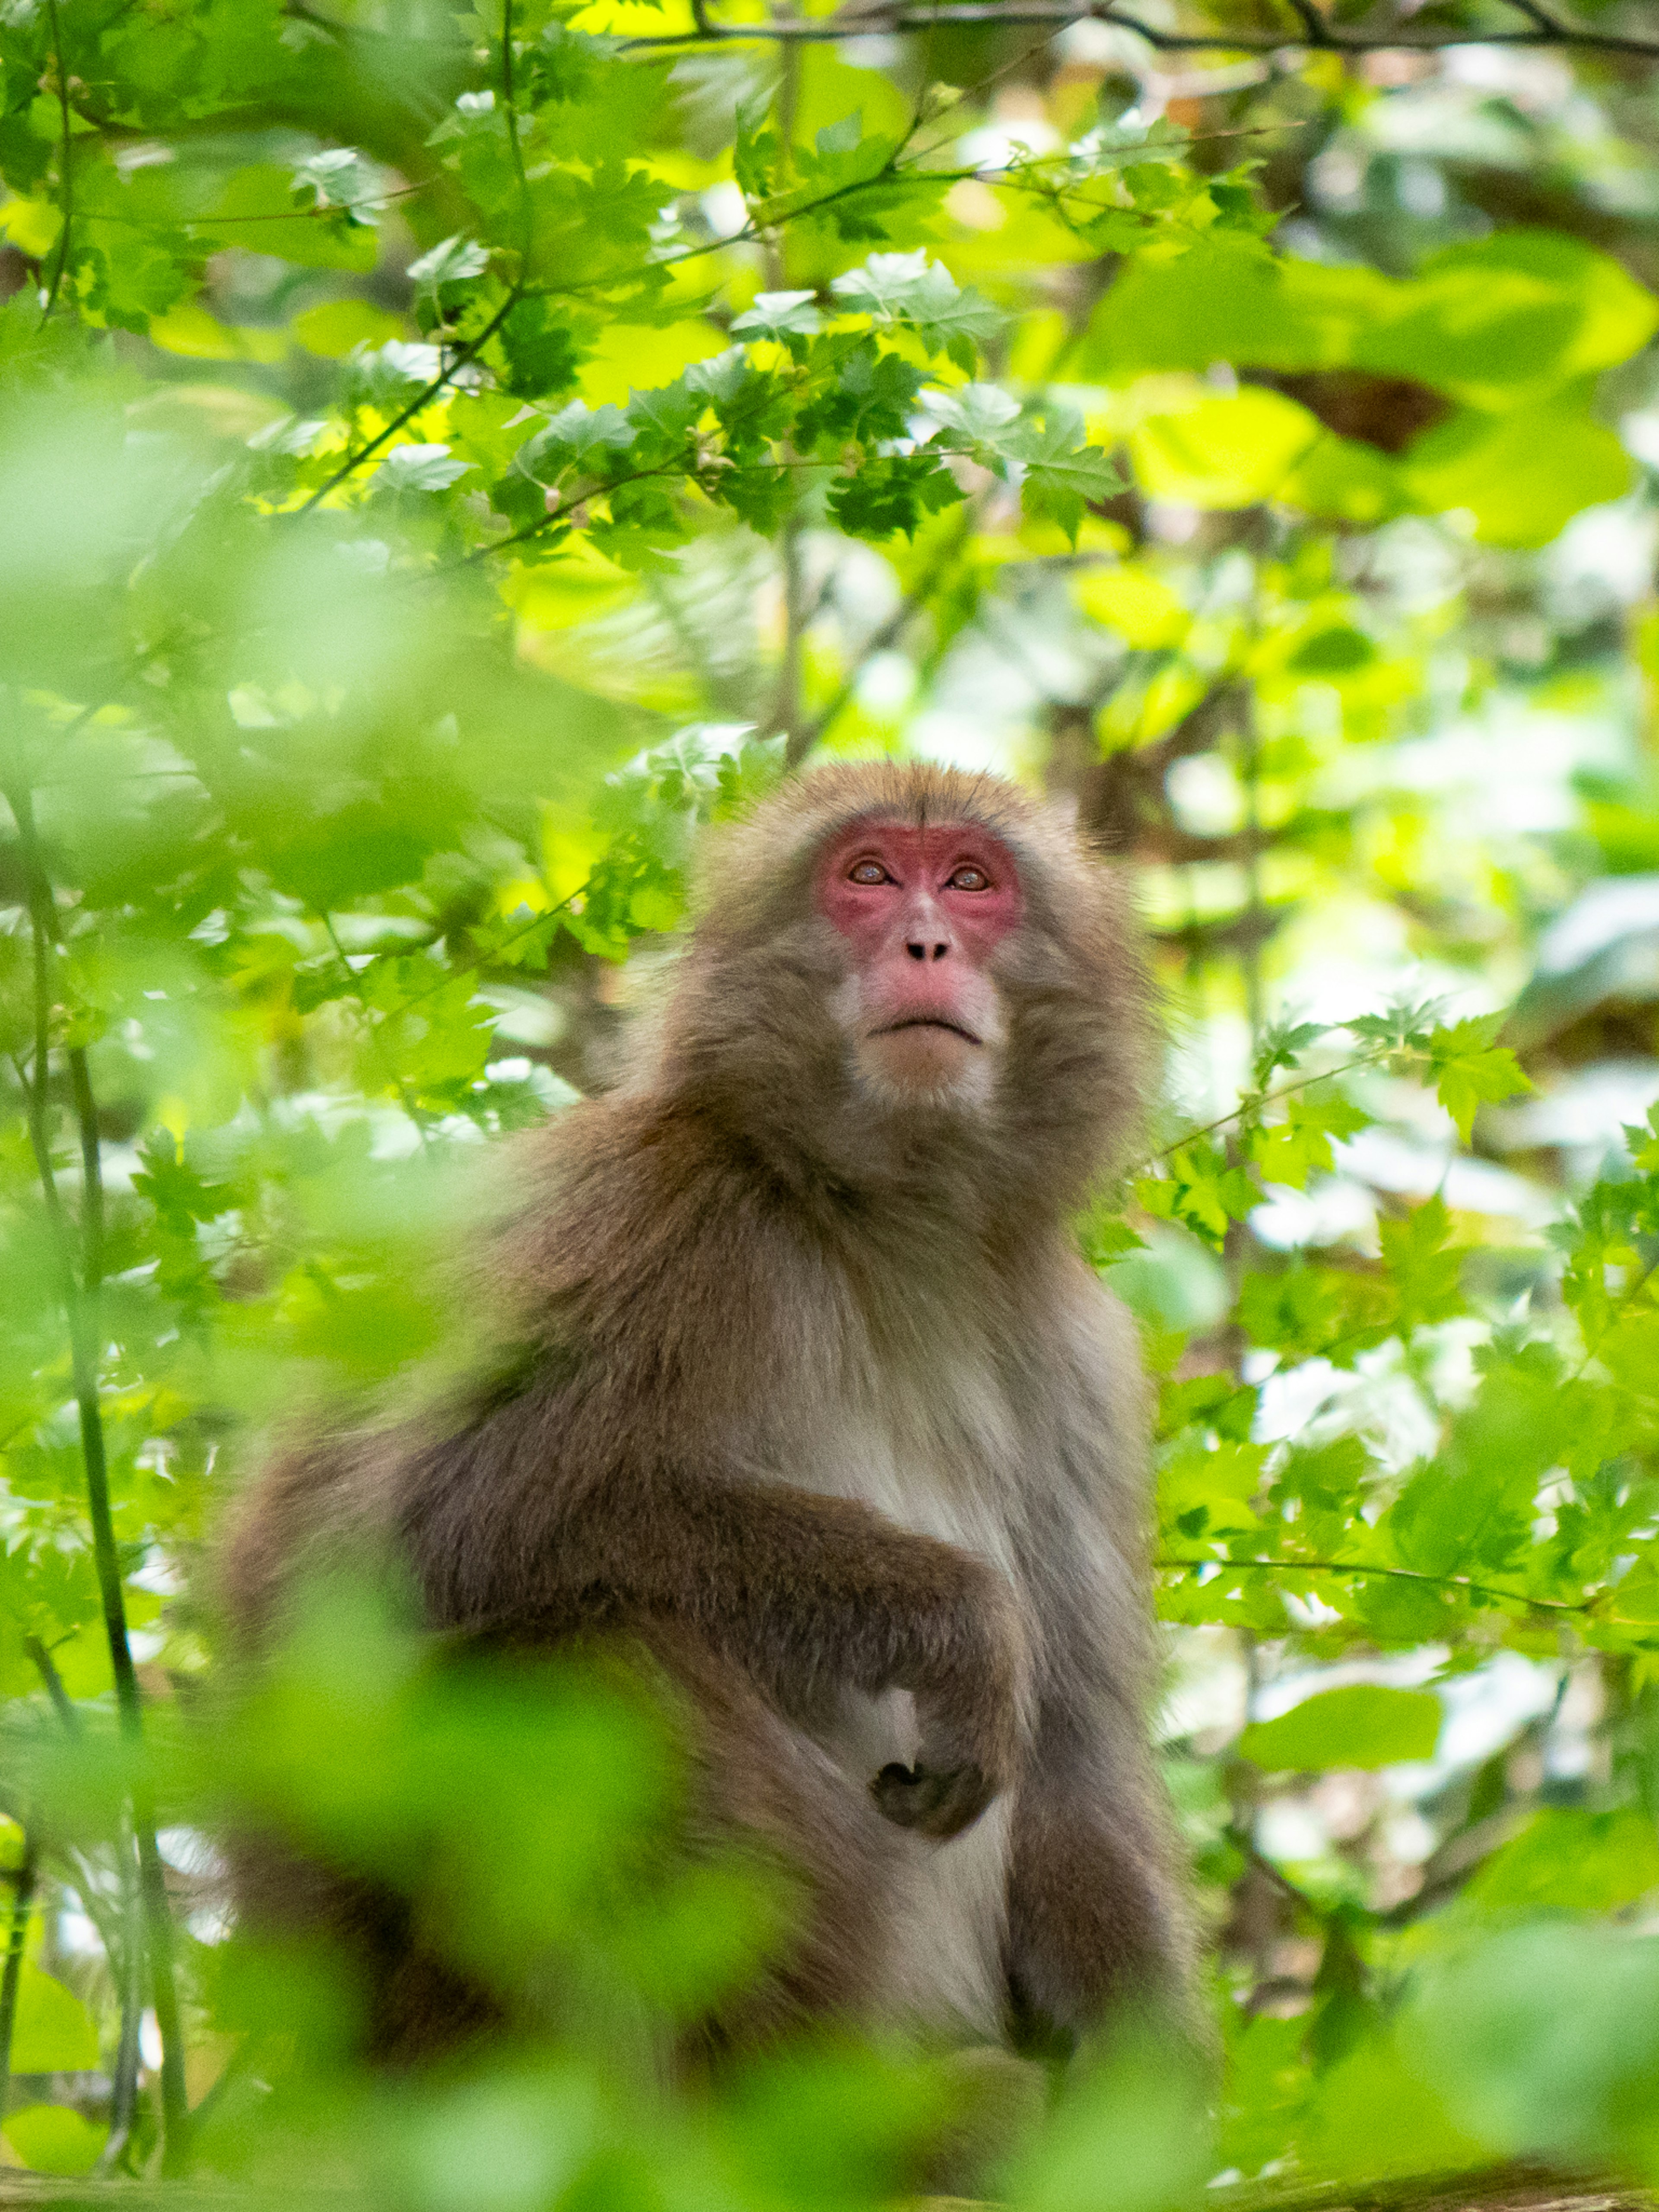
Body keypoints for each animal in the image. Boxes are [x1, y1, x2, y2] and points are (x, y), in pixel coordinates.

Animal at [218, 761, 1212, 2070]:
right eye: (868, 875)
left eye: (971, 882)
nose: (927, 942)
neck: (890, 1227)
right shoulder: (668, 1216)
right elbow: (418, 1537)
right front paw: (960, 1624)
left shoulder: (1078, 1364)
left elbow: (1077, 1766)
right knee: (586, 1651)